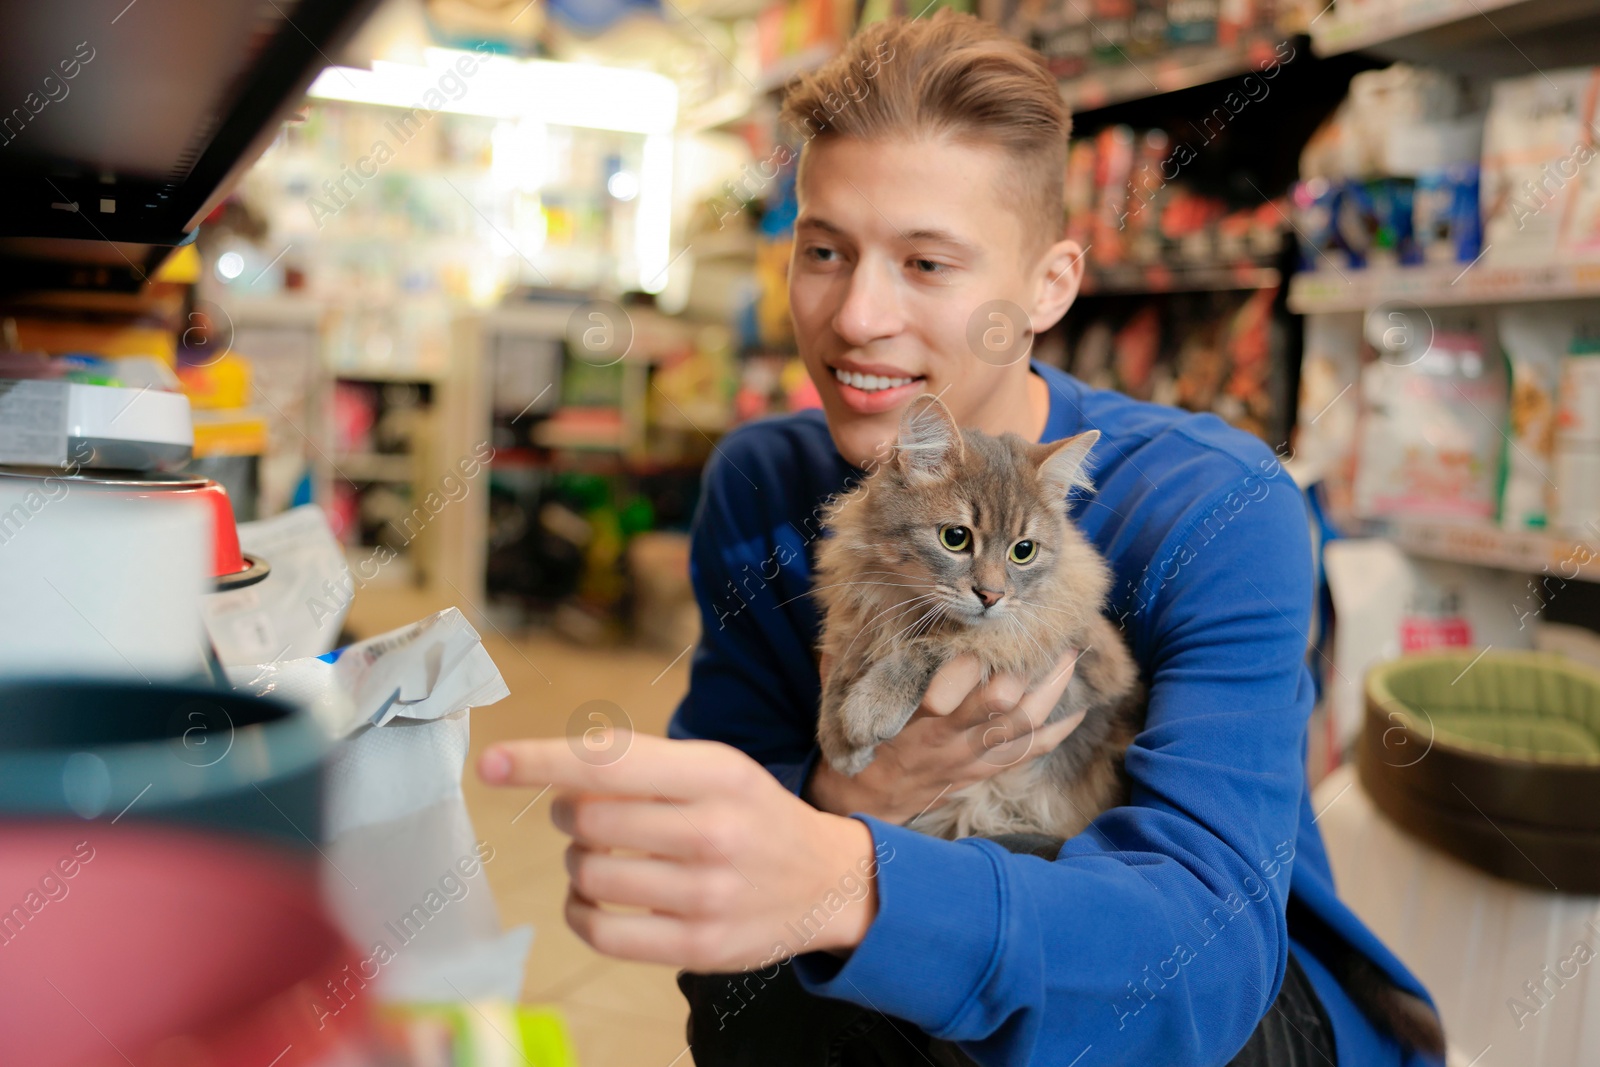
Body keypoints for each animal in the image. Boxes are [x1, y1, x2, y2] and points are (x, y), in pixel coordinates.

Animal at [819, 395, 1145, 844]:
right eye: (955, 538)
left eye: (1023, 551)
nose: (991, 596)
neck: (911, 605)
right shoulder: (864, 609)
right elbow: (846, 662)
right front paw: (837, 740)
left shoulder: (1060, 658)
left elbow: (939, 645)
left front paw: (870, 710)